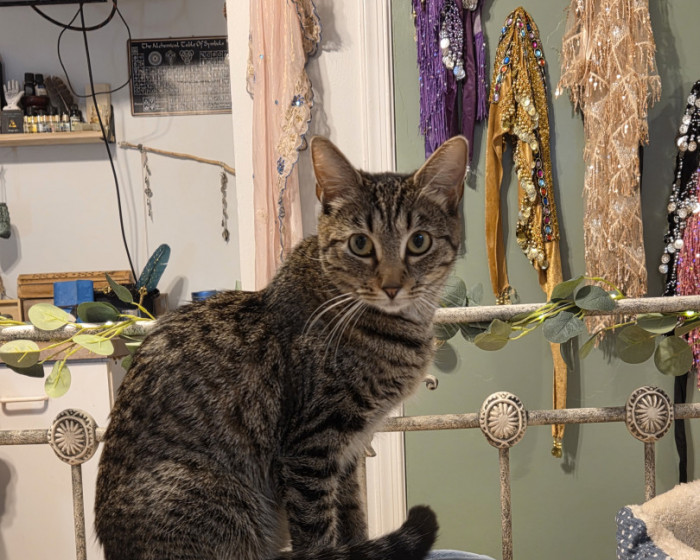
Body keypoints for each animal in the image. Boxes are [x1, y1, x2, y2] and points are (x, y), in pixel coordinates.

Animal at [95, 134, 468, 560]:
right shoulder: (311, 448)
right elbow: (318, 532)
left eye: (419, 241)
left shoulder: (350, 451)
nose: (392, 286)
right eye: (360, 244)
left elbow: (353, 519)